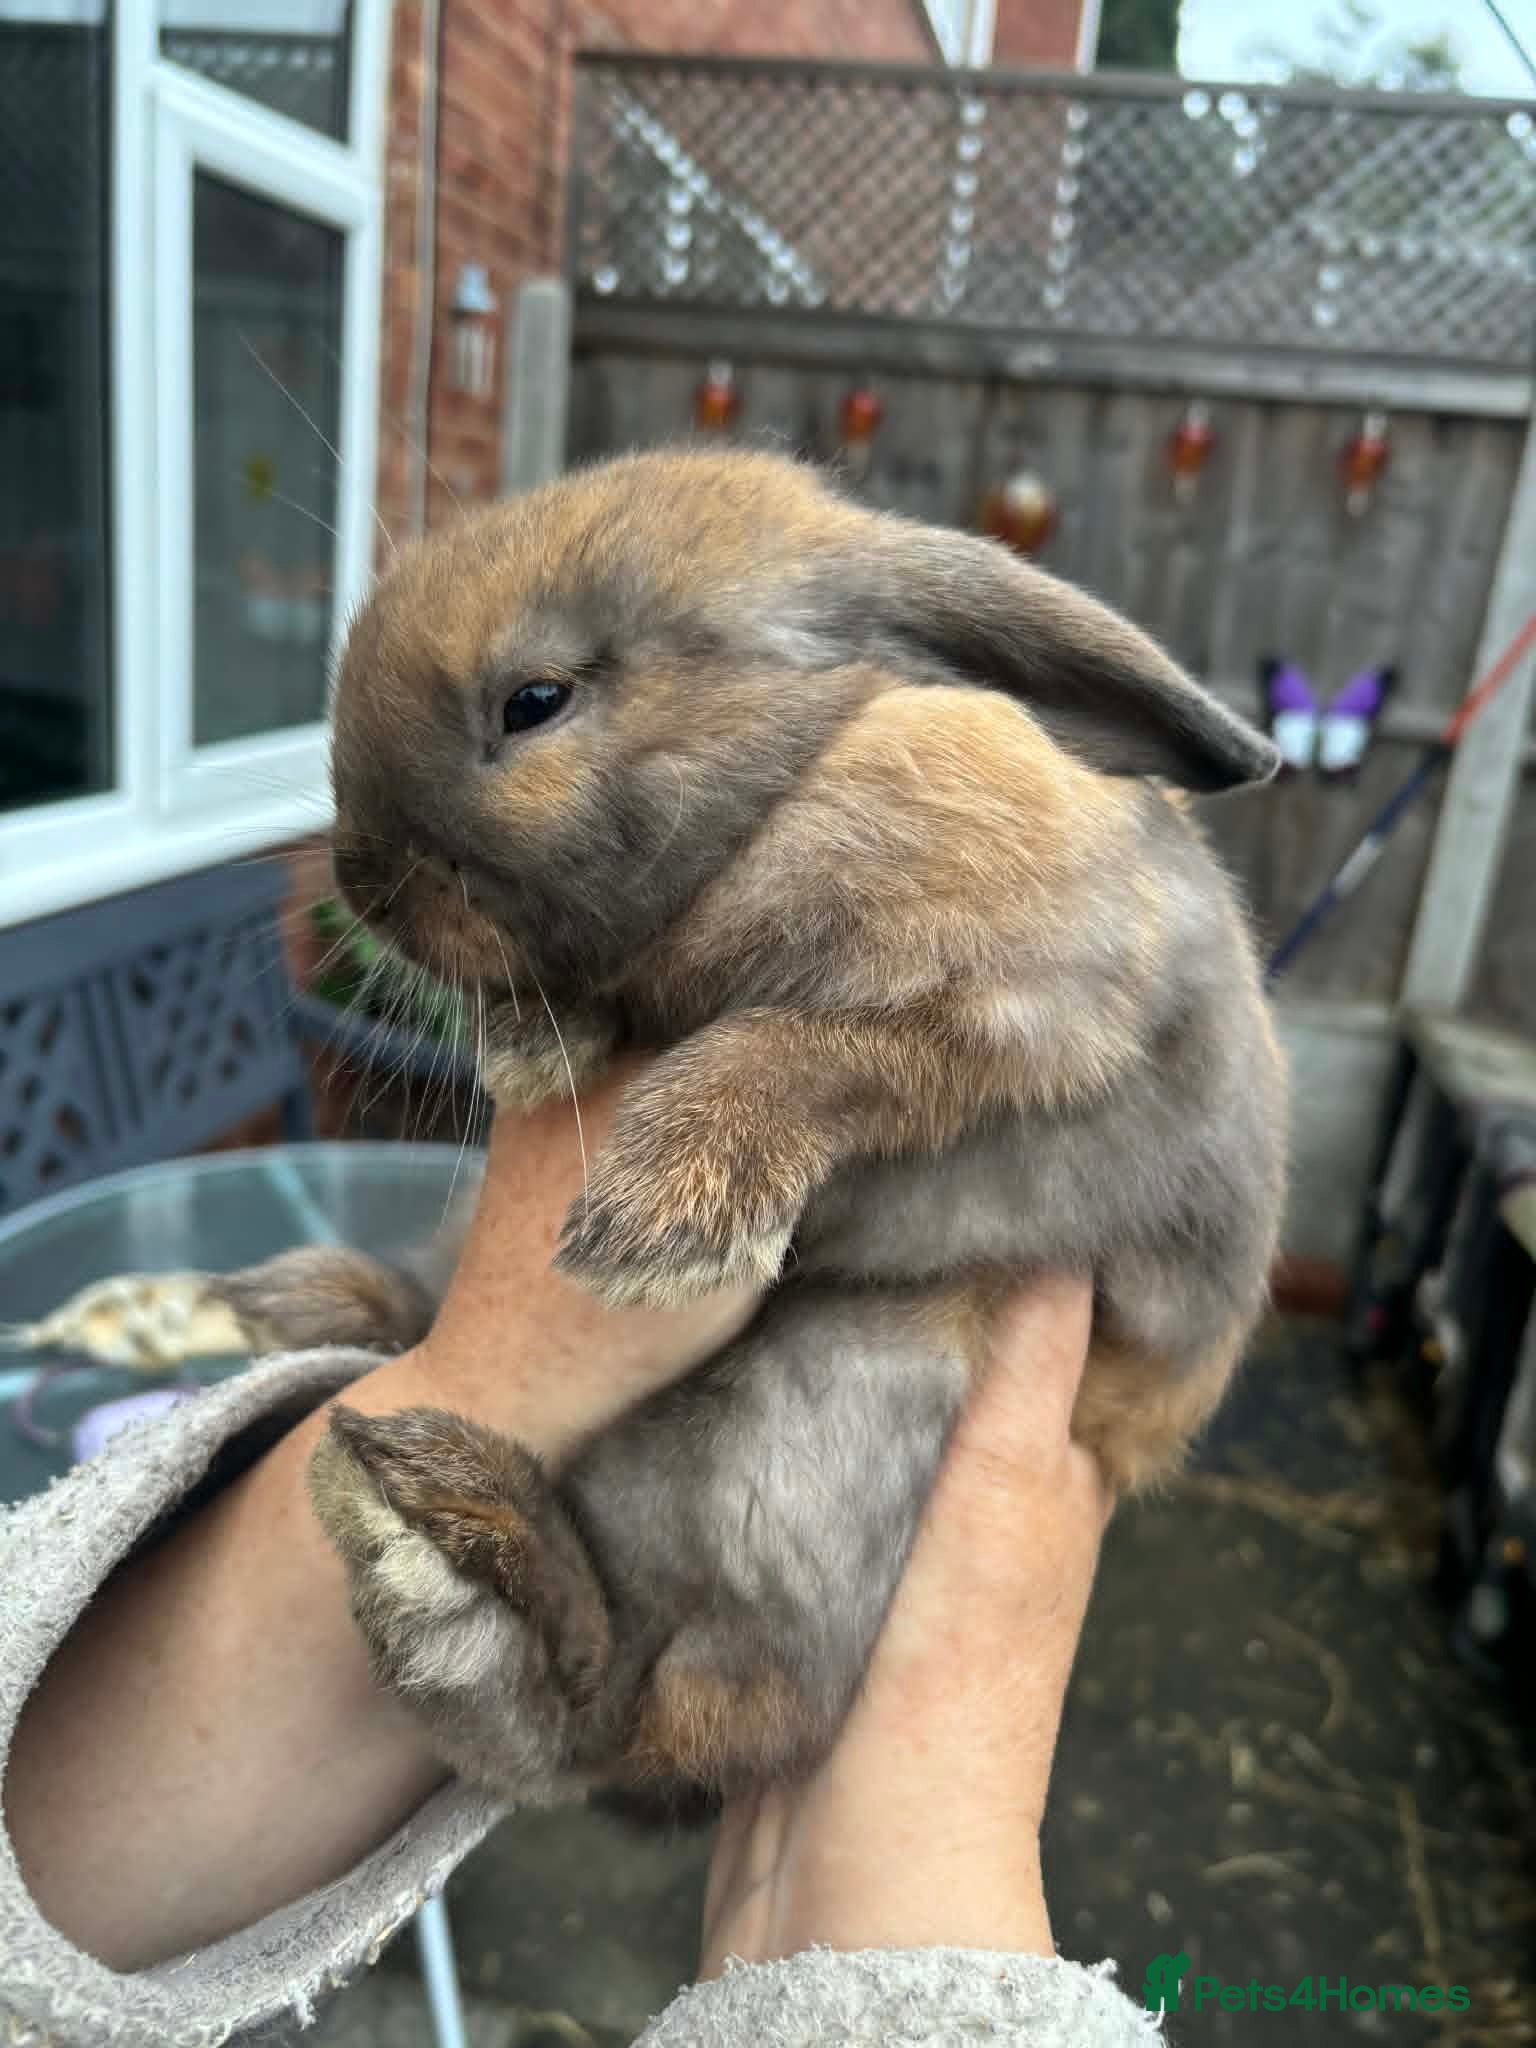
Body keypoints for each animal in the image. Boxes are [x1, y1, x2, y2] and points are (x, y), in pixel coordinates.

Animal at [243, 445, 1288, 1816]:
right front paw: (535, 1050)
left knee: (610, 1725)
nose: (361, 883)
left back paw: (440, 1507)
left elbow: (812, 1054)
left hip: (819, 1423)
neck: (788, 787)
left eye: (535, 699)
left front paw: (654, 1220)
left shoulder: (1018, 1008)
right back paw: (304, 1312)